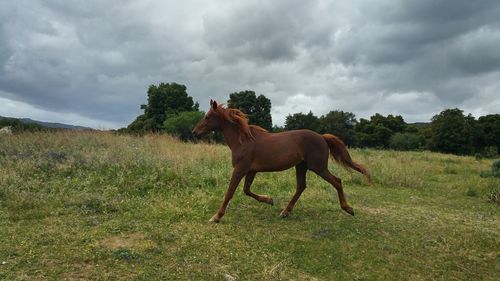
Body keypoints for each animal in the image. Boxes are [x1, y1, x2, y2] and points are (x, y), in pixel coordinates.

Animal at [191, 99, 372, 222]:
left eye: (207, 117)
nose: (194, 132)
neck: (243, 140)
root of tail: (322, 137)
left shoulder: (240, 169)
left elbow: (230, 192)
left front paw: (216, 217)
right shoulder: (251, 170)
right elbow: (246, 190)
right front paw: (269, 200)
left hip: (318, 167)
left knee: (337, 181)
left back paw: (348, 208)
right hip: (301, 166)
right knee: (301, 187)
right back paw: (285, 211)